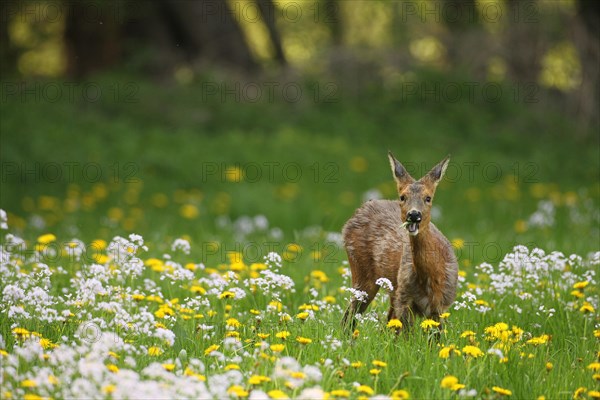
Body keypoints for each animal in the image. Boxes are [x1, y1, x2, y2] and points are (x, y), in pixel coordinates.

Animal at [342, 152, 460, 332]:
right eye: (403, 197)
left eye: (428, 198)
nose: (414, 215)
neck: (431, 278)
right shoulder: (405, 299)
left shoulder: (441, 305)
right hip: (362, 272)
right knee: (349, 316)